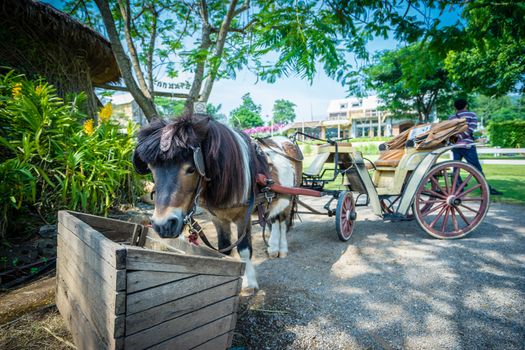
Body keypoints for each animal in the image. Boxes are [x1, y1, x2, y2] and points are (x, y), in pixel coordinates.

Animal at [133, 114, 300, 292]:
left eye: (191, 169)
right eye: (151, 168)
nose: (163, 225)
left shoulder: (244, 217)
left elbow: (244, 249)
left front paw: (249, 284)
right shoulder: (217, 219)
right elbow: (223, 249)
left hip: (288, 197)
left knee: (281, 221)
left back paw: (281, 249)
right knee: (275, 220)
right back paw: (274, 248)